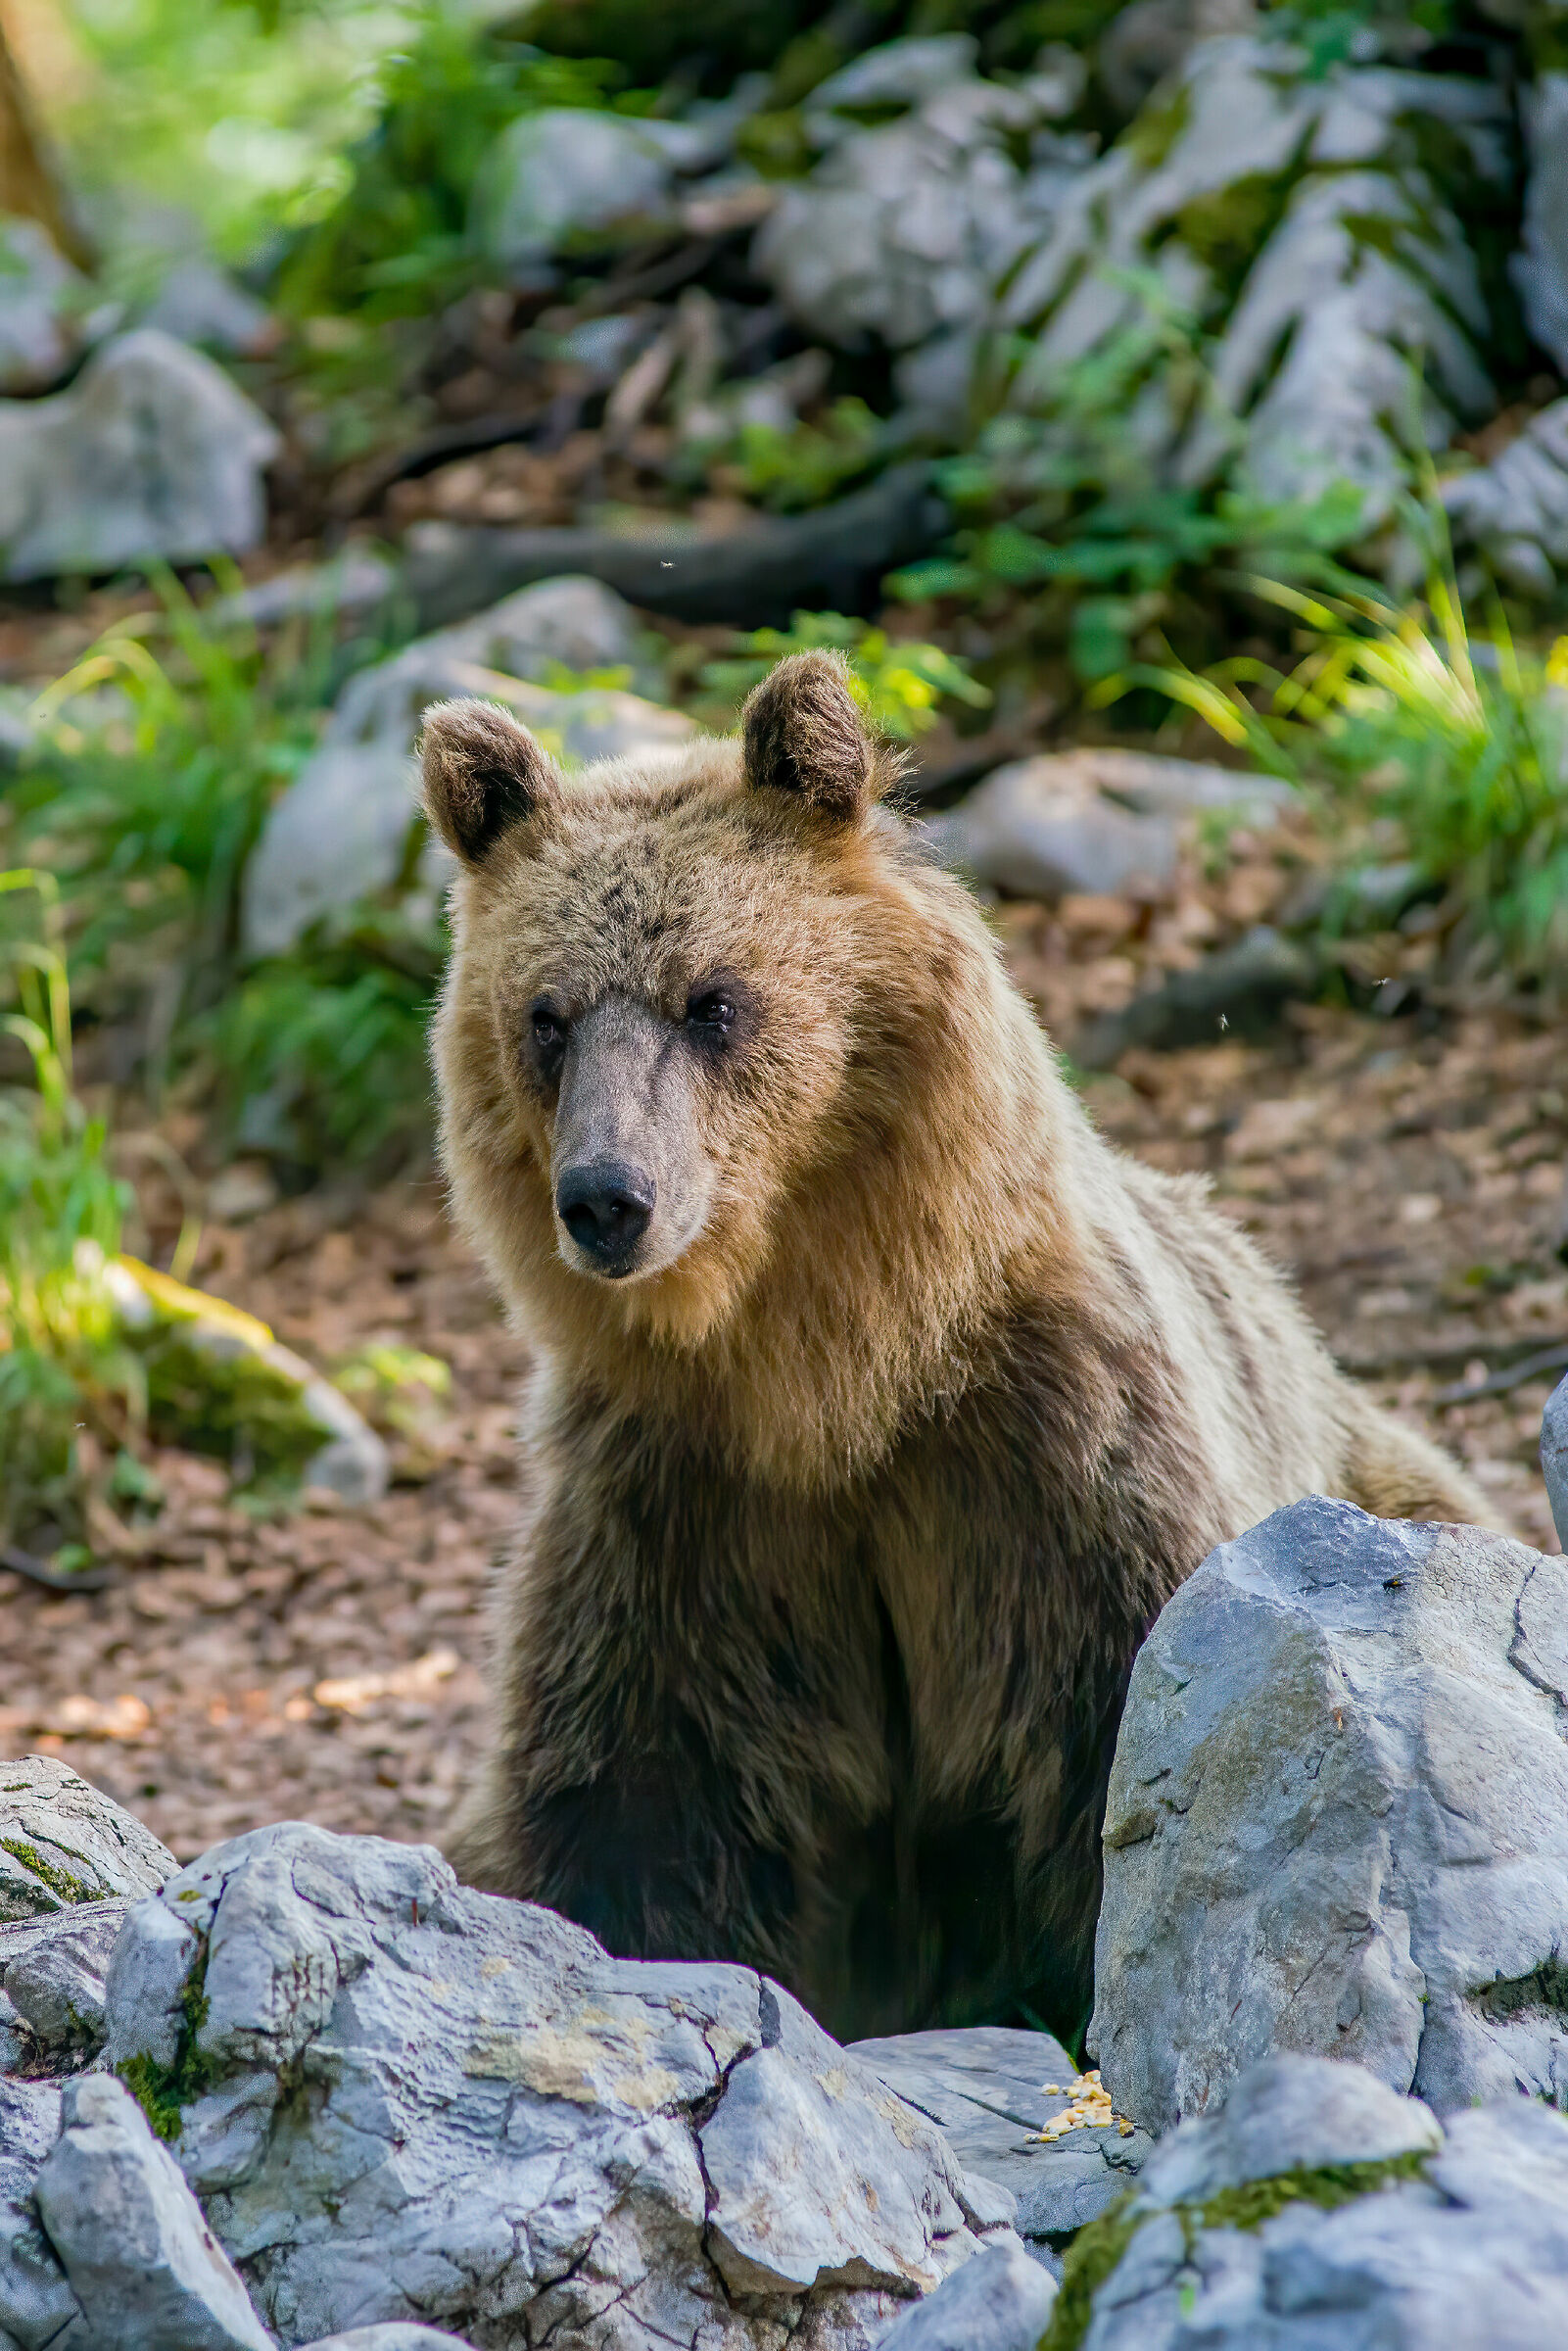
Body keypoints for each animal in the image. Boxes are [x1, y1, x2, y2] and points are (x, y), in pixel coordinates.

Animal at [419, 652, 1492, 2044]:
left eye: (712, 999)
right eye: (546, 1017)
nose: (607, 1198)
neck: (830, 1374)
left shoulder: (1052, 1458)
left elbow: (1124, 1734)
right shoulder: (678, 1514)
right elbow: (635, 1803)